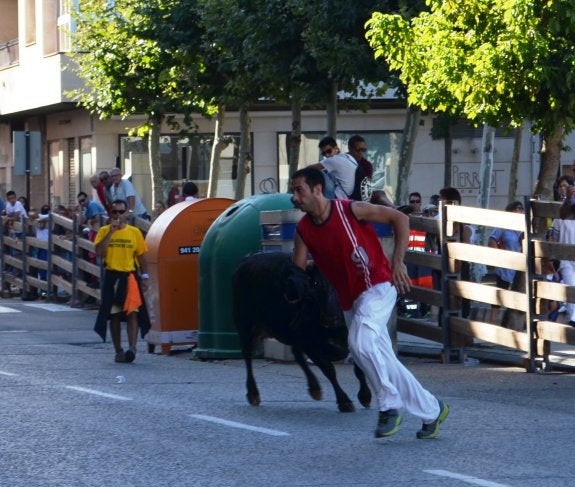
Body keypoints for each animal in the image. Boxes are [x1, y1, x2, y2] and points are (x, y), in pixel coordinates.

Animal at [232, 254, 372, 414]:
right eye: (315, 283)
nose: (330, 318)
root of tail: (247, 260)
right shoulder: (309, 343)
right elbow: (329, 370)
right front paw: (344, 401)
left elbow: (359, 368)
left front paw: (365, 396)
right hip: (245, 326)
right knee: (248, 357)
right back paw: (253, 393)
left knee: (296, 354)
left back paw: (314, 387)